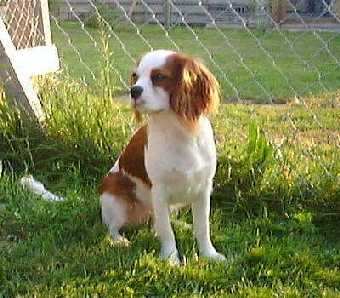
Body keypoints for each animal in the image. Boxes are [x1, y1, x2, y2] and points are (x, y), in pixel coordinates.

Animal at [99, 49, 226, 264]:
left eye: (159, 77)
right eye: (135, 76)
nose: (133, 90)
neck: (179, 132)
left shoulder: (203, 189)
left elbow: (203, 227)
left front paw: (209, 254)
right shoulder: (159, 191)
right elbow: (167, 232)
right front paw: (171, 258)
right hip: (113, 195)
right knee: (113, 227)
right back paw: (119, 241)